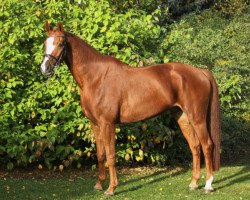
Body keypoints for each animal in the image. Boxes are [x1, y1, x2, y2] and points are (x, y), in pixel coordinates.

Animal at [40, 22, 220, 195]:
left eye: (61, 43)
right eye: (45, 43)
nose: (44, 68)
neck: (96, 77)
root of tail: (201, 72)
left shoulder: (107, 124)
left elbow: (111, 155)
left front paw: (111, 188)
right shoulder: (95, 124)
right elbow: (100, 154)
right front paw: (99, 185)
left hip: (197, 118)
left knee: (207, 145)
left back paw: (208, 185)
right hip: (182, 116)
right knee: (195, 146)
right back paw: (194, 183)